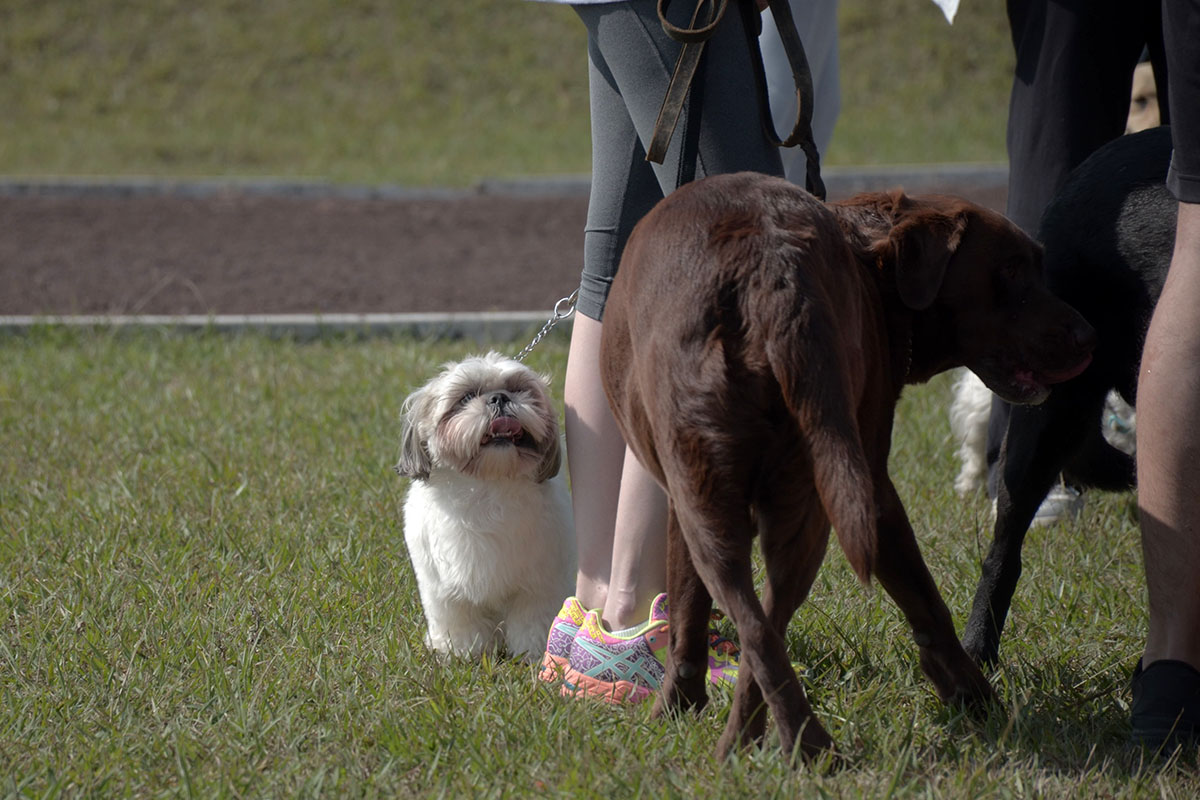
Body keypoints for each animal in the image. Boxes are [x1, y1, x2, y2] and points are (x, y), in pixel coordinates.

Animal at [393, 352, 576, 662]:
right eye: (466, 397)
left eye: (518, 389)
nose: (499, 398)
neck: (488, 486)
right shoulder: (444, 587)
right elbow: (459, 618)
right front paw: (461, 652)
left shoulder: (539, 584)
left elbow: (533, 619)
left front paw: (535, 652)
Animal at [600, 170, 1099, 762]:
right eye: (1013, 271)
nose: (1091, 337)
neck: (874, 268)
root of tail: (771, 273)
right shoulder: (865, 488)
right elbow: (923, 601)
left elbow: (689, 613)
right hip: (789, 486)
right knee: (765, 625)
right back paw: (786, 744)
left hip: (757, 493)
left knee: (758, 624)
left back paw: (771, 746)